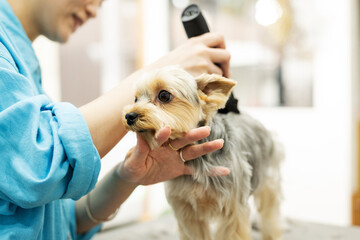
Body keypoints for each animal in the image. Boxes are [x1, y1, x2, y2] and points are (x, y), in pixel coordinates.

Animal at [122, 66, 282, 240]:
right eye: (136, 99)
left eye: (164, 95)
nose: (129, 116)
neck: (198, 160)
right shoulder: (187, 211)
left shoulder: (233, 208)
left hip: (268, 178)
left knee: (270, 212)